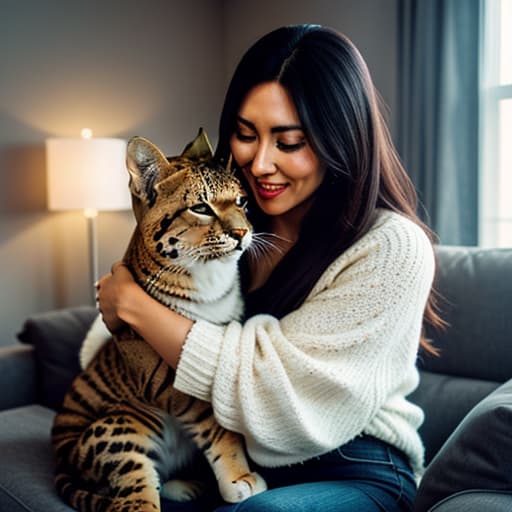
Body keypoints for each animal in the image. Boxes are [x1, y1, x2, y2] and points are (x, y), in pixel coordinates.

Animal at [51, 131, 266, 512]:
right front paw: (240, 476)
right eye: (201, 208)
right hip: (122, 423)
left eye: (241, 200)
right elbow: (218, 424)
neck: (209, 276)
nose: (243, 233)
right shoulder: (168, 379)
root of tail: (60, 460)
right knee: (131, 499)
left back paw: (184, 486)